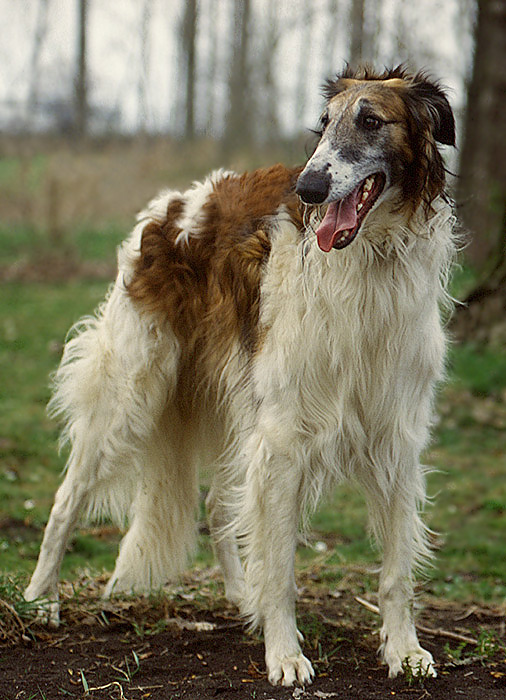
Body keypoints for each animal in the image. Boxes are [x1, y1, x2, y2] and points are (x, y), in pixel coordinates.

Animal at [25, 68, 456, 688]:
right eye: (323, 123)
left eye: (372, 120)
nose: (309, 187)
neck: (370, 263)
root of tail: (169, 207)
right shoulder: (283, 437)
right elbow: (279, 567)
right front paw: (285, 655)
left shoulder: (394, 434)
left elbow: (396, 570)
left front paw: (405, 651)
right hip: (132, 395)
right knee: (66, 499)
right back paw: (42, 599)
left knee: (217, 507)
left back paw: (237, 594)